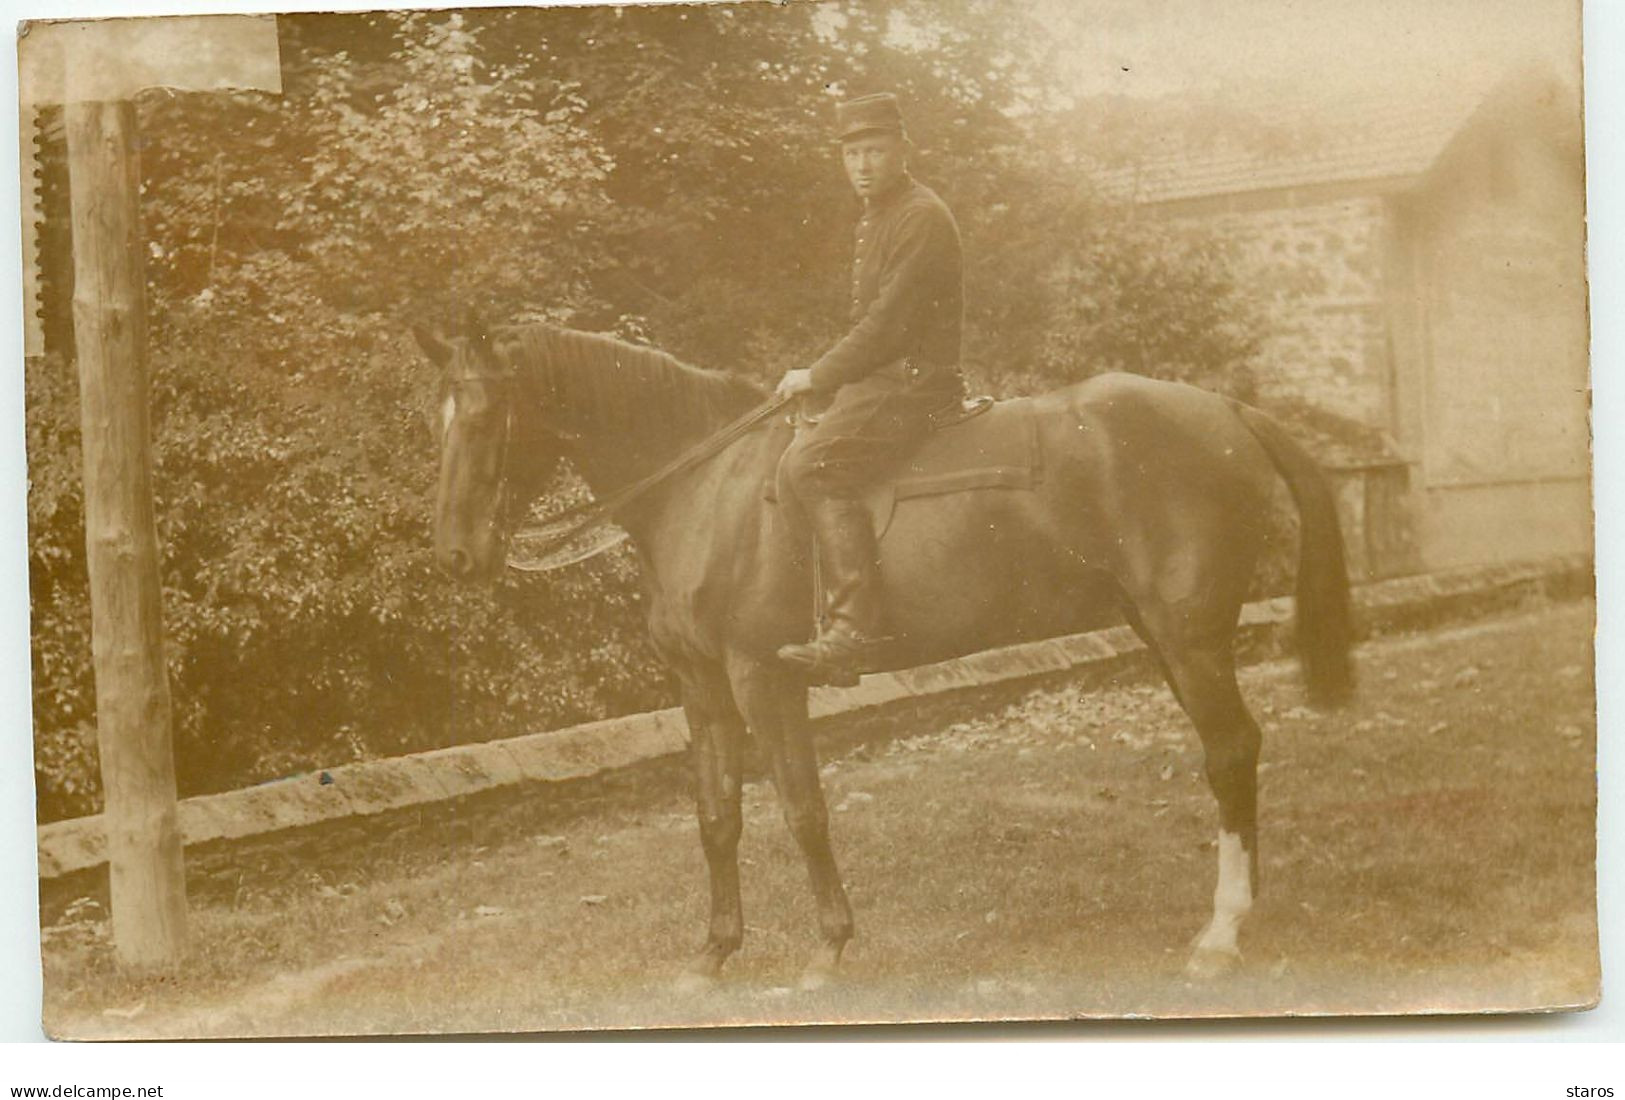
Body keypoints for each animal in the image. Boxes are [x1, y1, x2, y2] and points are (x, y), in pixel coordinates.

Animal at [412, 316, 1352, 987]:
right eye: (438, 418)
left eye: (486, 415)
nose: (454, 554)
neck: (706, 488)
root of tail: (1226, 410)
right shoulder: (700, 686)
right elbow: (717, 818)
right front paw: (713, 954)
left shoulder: (763, 677)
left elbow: (801, 808)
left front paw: (829, 948)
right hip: (1162, 634)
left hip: (1188, 637)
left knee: (1230, 752)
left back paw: (1220, 934)